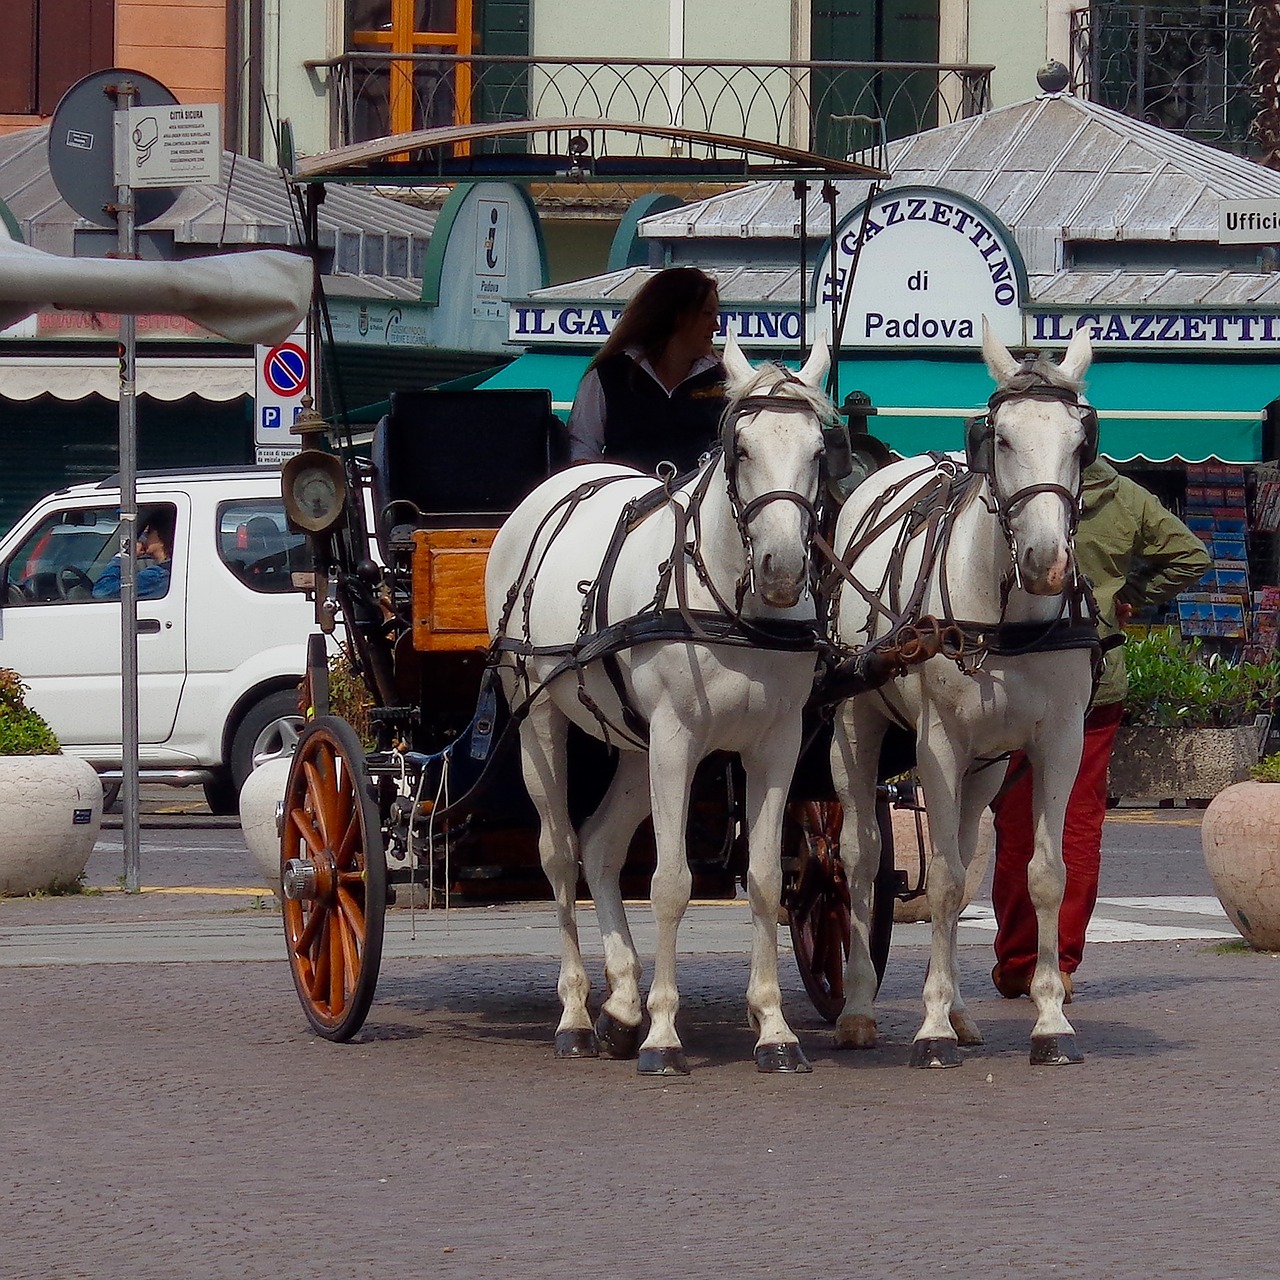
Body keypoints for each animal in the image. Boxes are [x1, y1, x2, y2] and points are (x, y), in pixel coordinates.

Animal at [483, 337, 834, 1070]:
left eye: (819, 451)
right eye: (741, 449)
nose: (784, 569)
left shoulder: (776, 744)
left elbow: (765, 880)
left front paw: (774, 1028)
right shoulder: (677, 739)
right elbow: (671, 882)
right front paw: (665, 1035)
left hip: (630, 743)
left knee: (598, 847)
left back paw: (619, 1003)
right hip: (538, 720)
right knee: (558, 852)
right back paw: (575, 1014)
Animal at [829, 322, 1100, 1070]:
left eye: (1081, 441)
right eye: (999, 438)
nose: (1047, 563)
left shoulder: (1057, 743)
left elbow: (1043, 874)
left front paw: (1050, 1021)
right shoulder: (938, 745)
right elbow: (944, 881)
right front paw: (928, 1030)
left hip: (985, 768)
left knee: (963, 847)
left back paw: (958, 1012)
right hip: (854, 726)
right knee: (861, 856)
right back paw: (860, 1009)